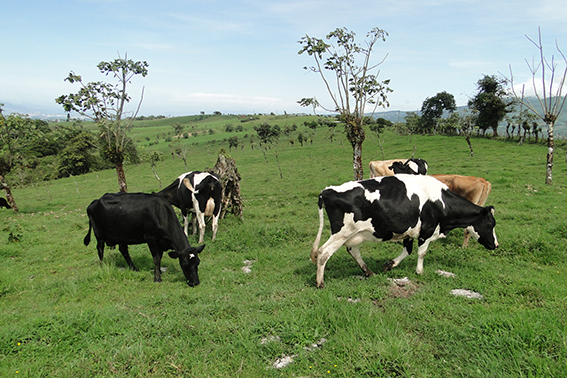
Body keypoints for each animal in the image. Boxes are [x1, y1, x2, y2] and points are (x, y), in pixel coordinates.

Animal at [308, 173, 500, 286]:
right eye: (491, 224)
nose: (496, 245)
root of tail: (327, 191)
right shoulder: (427, 230)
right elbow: (421, 252)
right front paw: (419, 271)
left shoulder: (409, 230)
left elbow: (407, 250)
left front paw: (389, 265)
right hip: (342, 232)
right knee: (323, 252)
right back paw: (320, 282)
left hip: (354, 234)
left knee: (352, 250)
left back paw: (368, 272)